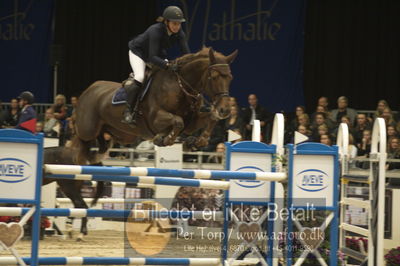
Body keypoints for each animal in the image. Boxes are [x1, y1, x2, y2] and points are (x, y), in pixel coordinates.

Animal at [73, 46, 236, 165]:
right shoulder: (156, 119)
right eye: (214, 77)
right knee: (81, 139)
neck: (180, 86)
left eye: (230, 77)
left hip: (121, 134)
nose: (225, 110)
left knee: (102, 139)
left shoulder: (191, 122)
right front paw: (164, 139)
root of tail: (88, 90)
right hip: (88, 129)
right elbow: (178, 121)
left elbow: (211, 118)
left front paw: (198, 141)